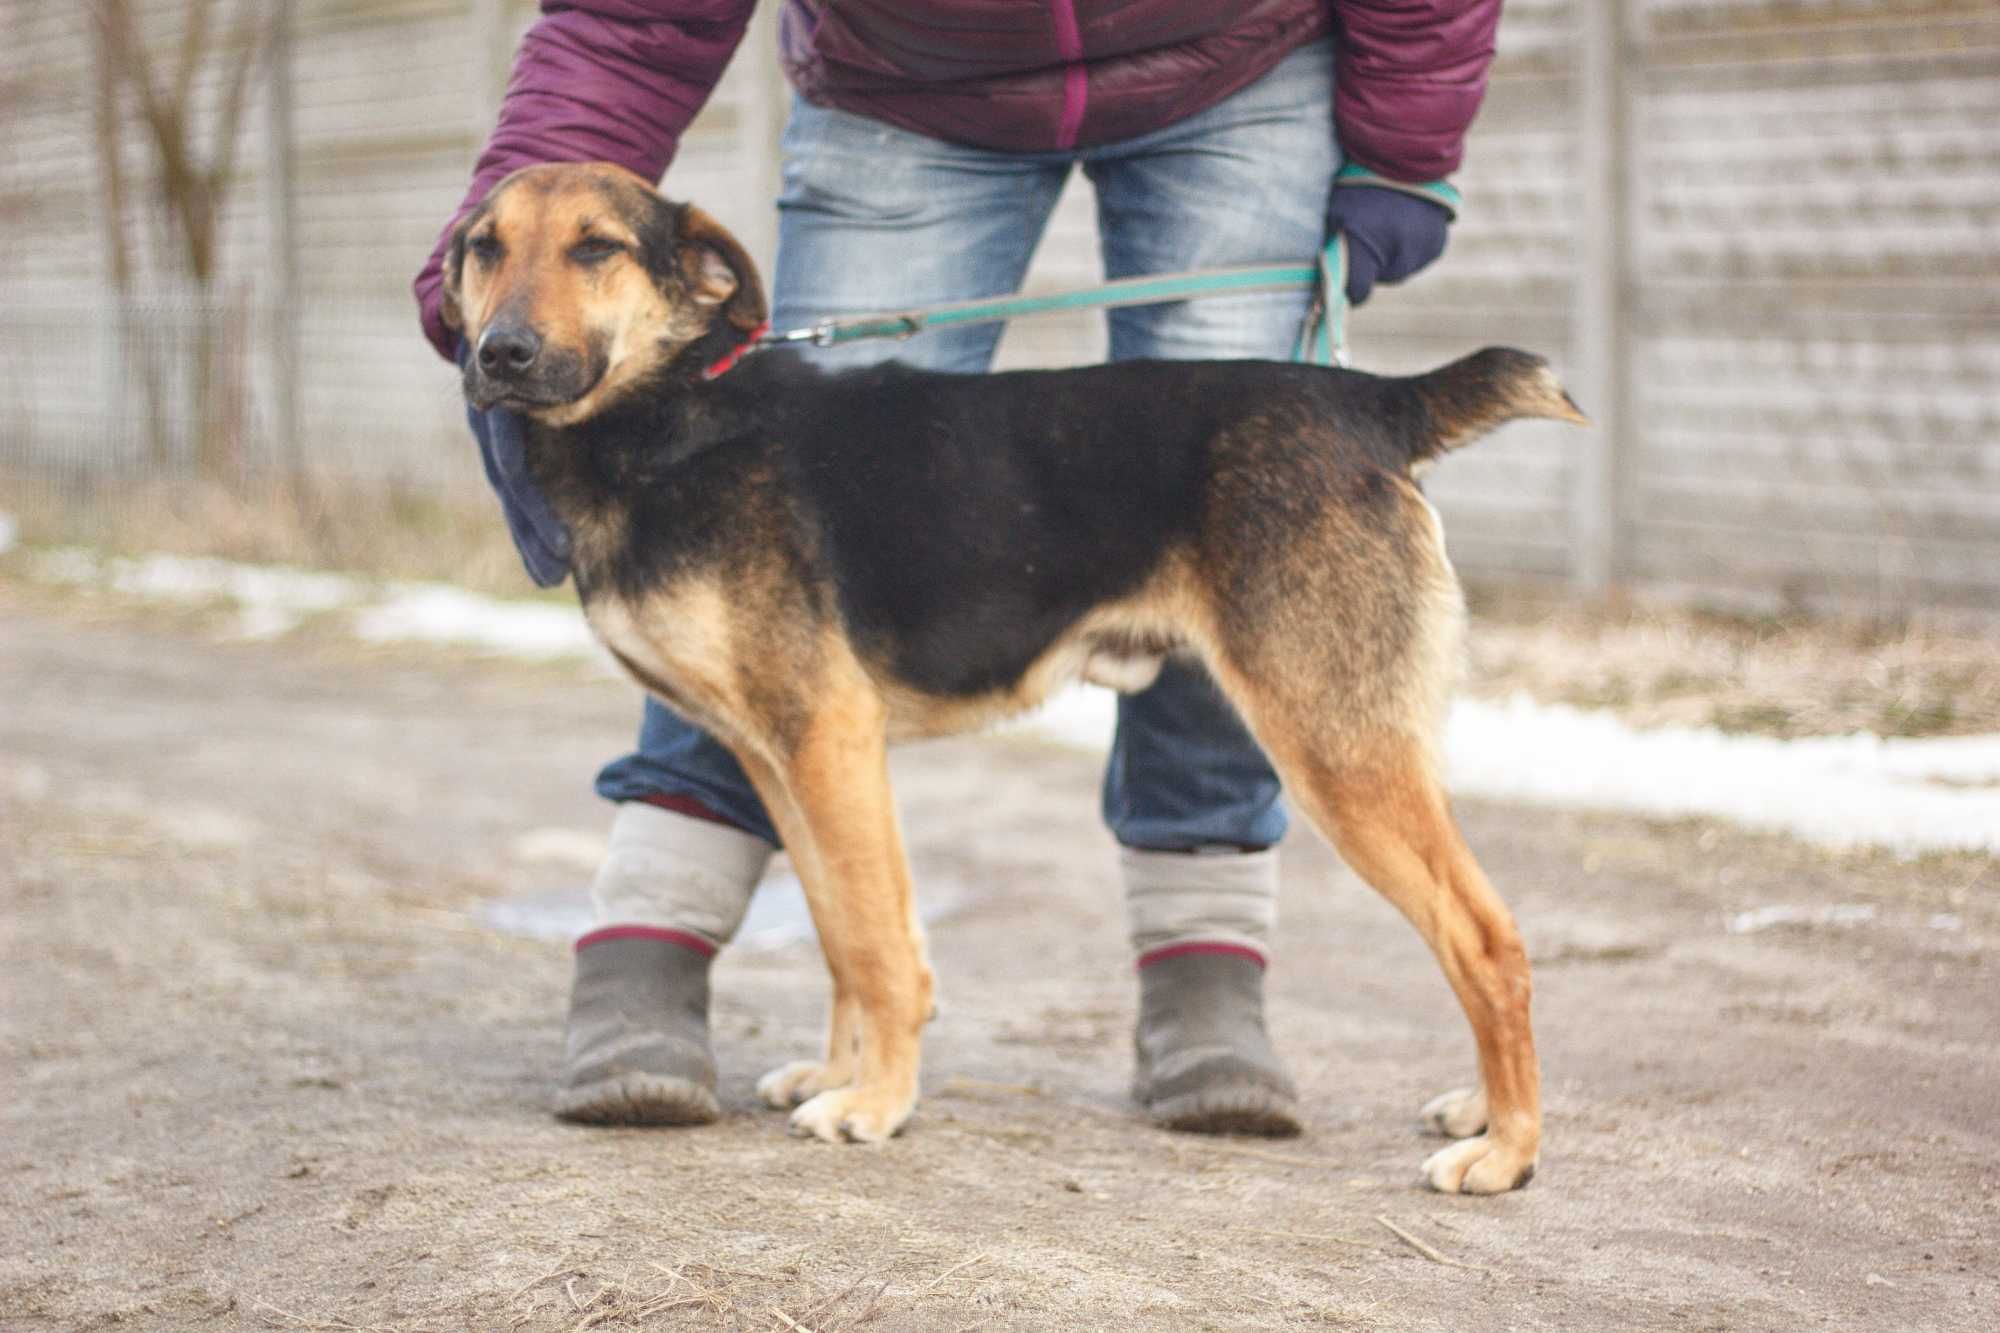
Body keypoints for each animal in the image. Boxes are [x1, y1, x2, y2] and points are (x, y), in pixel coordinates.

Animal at [446, 161, 1584, 1184]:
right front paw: (839, 1072)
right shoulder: (780, 759)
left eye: (596, 247)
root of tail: (1371, 401)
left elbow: (878, 946)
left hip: (1335, 746)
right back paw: (1483, 1108)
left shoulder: (831, 738)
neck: (675, 410)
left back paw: (1509, 1150)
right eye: (484, 247)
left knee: (1488, 939)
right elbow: (836, 932)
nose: (499, 353)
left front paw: (874, 1102)